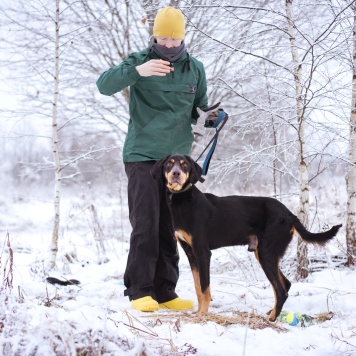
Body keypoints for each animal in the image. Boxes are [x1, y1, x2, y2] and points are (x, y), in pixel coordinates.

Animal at [152, 154, 342, 322]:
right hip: (264, 253)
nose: (176, 173)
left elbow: (205, 289)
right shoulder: (191, 254)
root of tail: (289, 214)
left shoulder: (203, 252)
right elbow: (198, 288)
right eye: (169, 164)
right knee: (285, 284)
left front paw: (203, 315)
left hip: (266, 253)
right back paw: (272, 312)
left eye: (184, 165)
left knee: (281, 290)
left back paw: (272, 319)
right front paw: (199, 312)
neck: (182, 199)